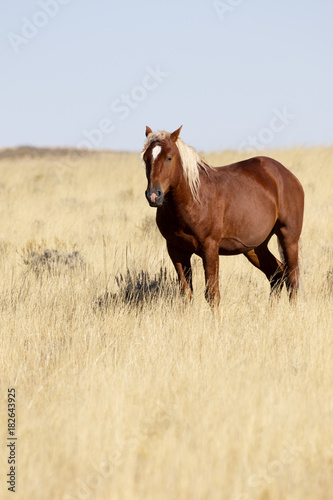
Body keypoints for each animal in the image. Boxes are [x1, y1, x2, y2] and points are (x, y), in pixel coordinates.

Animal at [140, 125, 304, 306]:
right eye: (146, 158)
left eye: (169, 158)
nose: (153, 195)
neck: (192, 199)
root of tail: (287, 175)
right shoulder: (176, 250)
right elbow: (186, 293)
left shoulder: (210, 248)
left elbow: (212, 294)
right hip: (255, 247)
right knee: (276, 274)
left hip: (288, 237)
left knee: (293, 279)